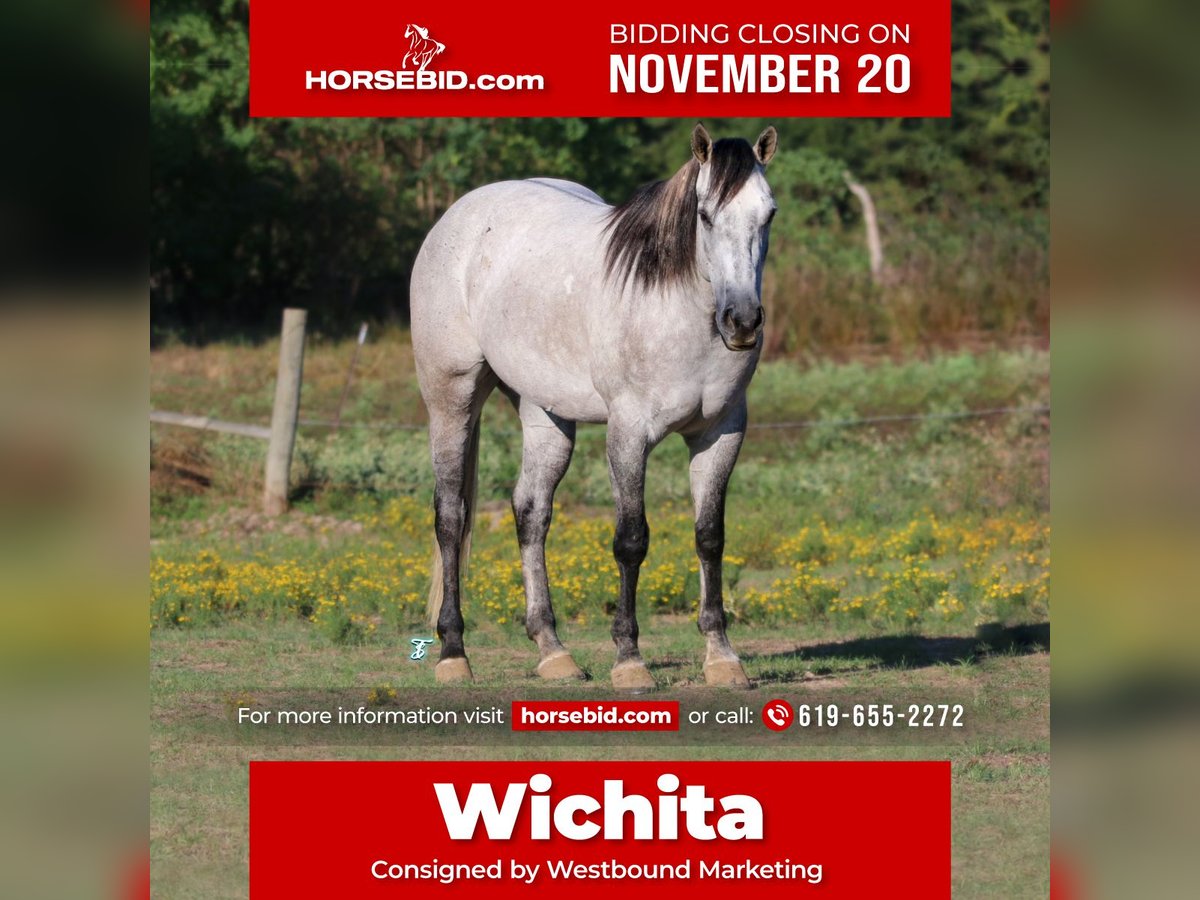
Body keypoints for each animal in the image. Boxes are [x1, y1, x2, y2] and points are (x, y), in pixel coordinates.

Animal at [412, 125, 777, 691]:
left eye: (769, 214)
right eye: (704, 214)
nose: (741, 321)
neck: (671, 307)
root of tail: (459, 214)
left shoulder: (721, 433)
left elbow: (710, 537)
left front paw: (722, 657)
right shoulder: (628, 433)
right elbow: (631, 539)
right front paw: (629, 660)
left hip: (544, 413)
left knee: (531, 512)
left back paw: (553, 651)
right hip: (451, 398)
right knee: (451, 516)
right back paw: (453, 653)